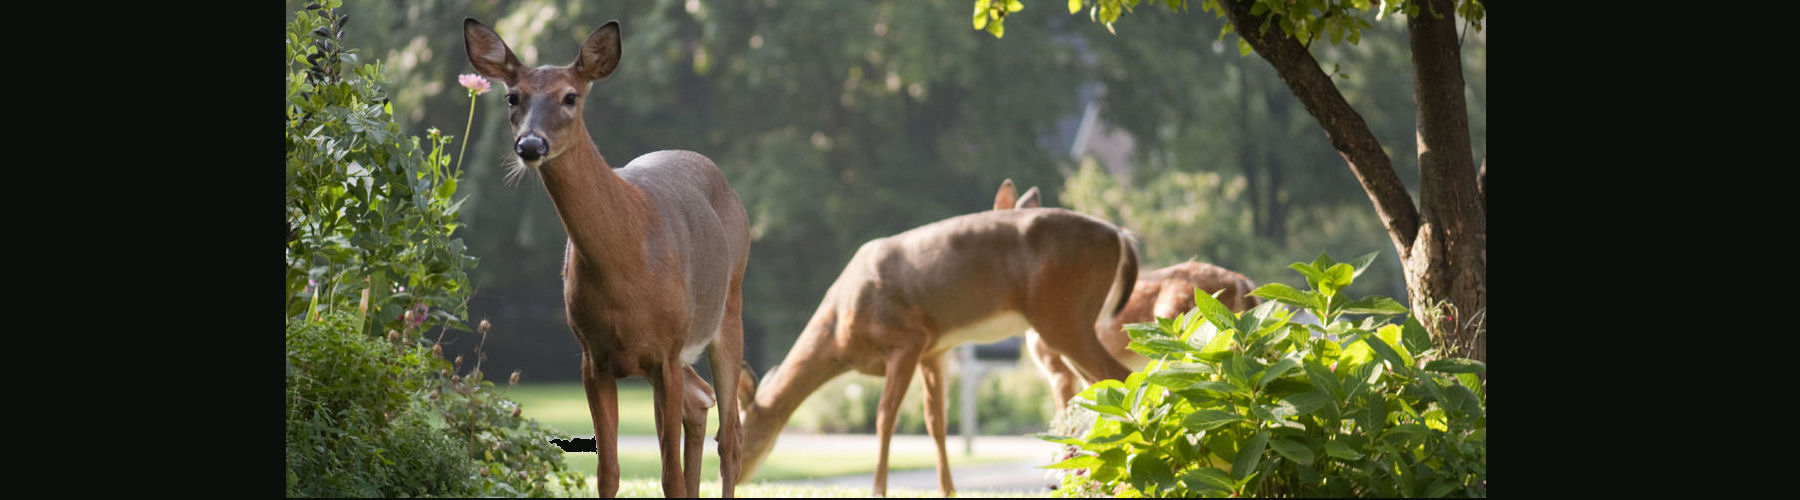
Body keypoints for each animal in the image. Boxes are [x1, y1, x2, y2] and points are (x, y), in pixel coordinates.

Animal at [464, 18, 752, 496]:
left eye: (570, 96)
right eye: (512, 96)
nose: (530, 145)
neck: (626, 265)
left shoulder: (667, 351)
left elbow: (670, 476)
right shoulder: (592, 355)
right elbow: (608, 471)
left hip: (727, 307)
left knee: (730, 437)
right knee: (701, 400)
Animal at [723, 203, 1130, 496]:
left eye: (744, 436)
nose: (736, 477)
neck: (840, 330)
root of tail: (1119, 235)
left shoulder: (907, 339)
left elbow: (885, 417)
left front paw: (878, 489)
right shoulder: (935, 350)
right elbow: (936, 422)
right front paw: (947, 490)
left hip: (1063, 313)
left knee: (1121, 377)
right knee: (1097, 389)